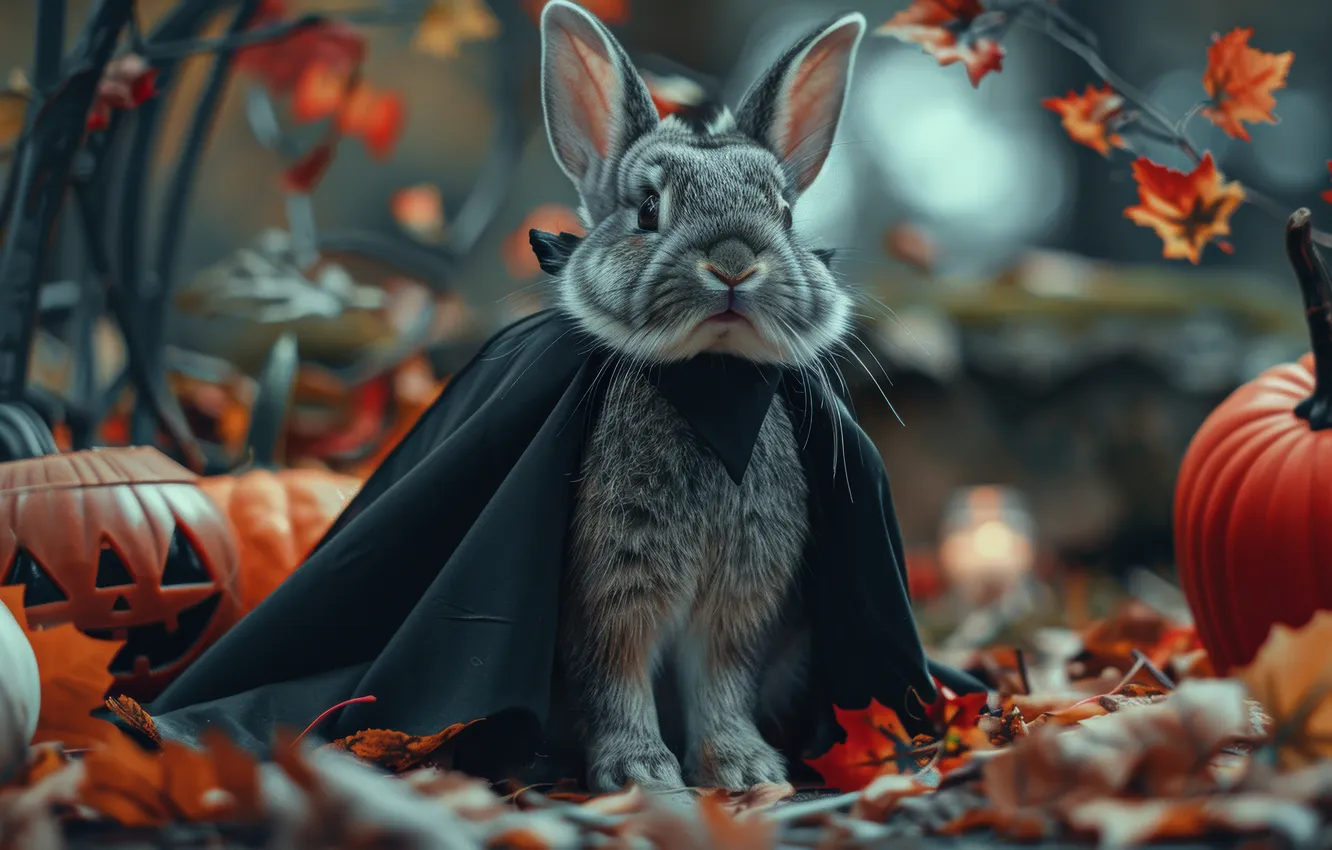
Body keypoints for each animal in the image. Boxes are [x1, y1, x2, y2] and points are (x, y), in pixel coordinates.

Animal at [539, 0, 866, 792]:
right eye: (647, 209)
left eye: (784, 211)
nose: (734, 261)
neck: (710, 383)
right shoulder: (607, 594)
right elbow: (613, 680)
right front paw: (641, 771)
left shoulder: (742, 600)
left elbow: (722, 682)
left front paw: (745, 770)